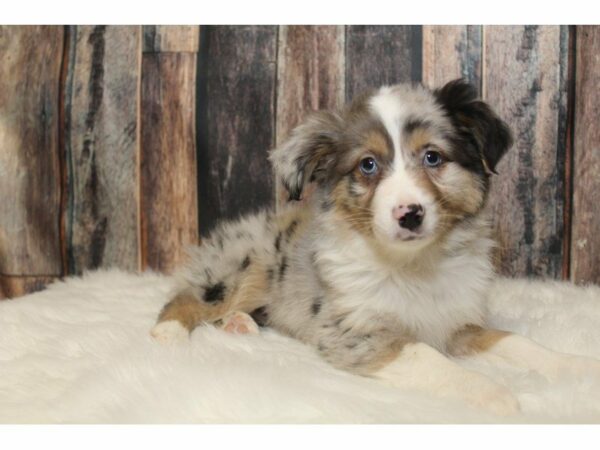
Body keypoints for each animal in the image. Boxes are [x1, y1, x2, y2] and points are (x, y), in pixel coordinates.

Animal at [150, 80, 600, 414]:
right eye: (368, 165)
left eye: (433, 157)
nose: (410, 214)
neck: (414, 264)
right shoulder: (358, 333)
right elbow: (426, 356)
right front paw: (495, 394)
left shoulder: (456, 324)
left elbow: (515, 342)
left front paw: (576, 366)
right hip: (243, 265)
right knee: (189, 296)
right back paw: (168, 336)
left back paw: (240, 326)